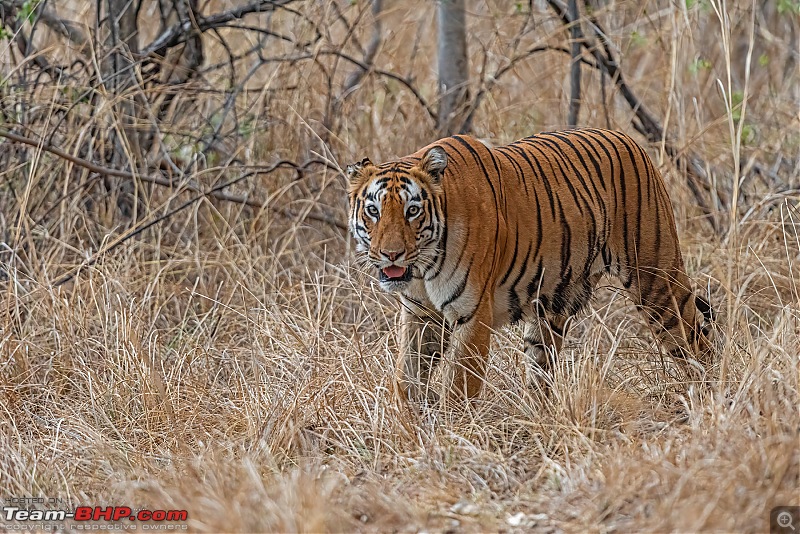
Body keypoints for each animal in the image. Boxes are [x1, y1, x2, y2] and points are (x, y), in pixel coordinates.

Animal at [344, 129, 712, 406]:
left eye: (413, 211)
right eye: (374, 211)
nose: (391, 254)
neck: (423, 266)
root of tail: (628, 139)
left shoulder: (472, 315)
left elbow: (459, 386)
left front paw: (450, 436)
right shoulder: (420, 315)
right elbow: (405, 378)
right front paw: (407, 426)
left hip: (657, 282)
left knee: (696, 345)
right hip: (551, 307)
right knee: (541, 371)